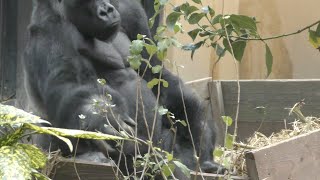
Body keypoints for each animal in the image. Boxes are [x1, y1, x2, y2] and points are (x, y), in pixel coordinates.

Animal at [22, 0, 222, 174]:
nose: (106, 10)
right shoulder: (49, 24)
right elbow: (68, 84)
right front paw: (100, 118)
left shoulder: (130, 9)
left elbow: (156, 74)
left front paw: (195, 121)